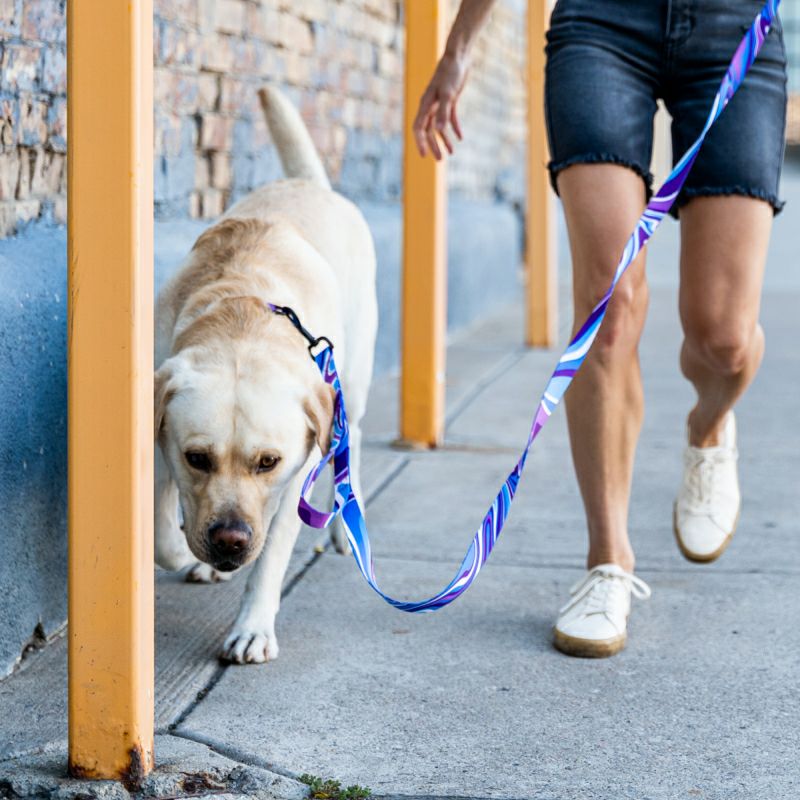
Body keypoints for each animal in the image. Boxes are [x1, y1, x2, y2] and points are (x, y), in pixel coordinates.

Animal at [154, 86, 377, 664]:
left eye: (268, 462)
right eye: (197, 458)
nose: (230, 541)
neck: (241, 311)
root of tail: (310, 183)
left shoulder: (297, 473)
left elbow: (272, 556)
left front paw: (253, 627)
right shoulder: (156, 438)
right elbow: (164, 534)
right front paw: (191, 557)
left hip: (351, 380)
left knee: (352, 441)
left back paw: (345, 523)